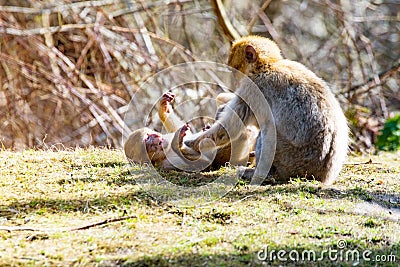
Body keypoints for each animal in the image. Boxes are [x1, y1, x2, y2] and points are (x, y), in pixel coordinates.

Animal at [183, 35, 348, 185]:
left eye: (236, 70)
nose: (236, 81)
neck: (267, 66)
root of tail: (323, 175)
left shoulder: (253, 88)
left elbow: (230, 127)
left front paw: (191, 142)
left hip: (293, 160)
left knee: (268, 130)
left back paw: (260, 174)